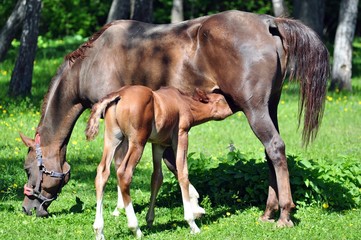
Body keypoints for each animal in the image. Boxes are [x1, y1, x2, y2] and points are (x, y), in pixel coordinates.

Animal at [86, 86, 232, 238]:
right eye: (222, 100)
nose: (232, 108)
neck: (185, 103)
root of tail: (119, 94)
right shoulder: (181, 134)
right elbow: (182, 173)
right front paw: (192, 222)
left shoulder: (158, 144)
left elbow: (157, 178)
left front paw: (150, 220)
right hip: (137, 142)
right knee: (124, 173)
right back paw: (135, 228)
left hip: (112, 139)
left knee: (102, 172)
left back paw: (99, 230)